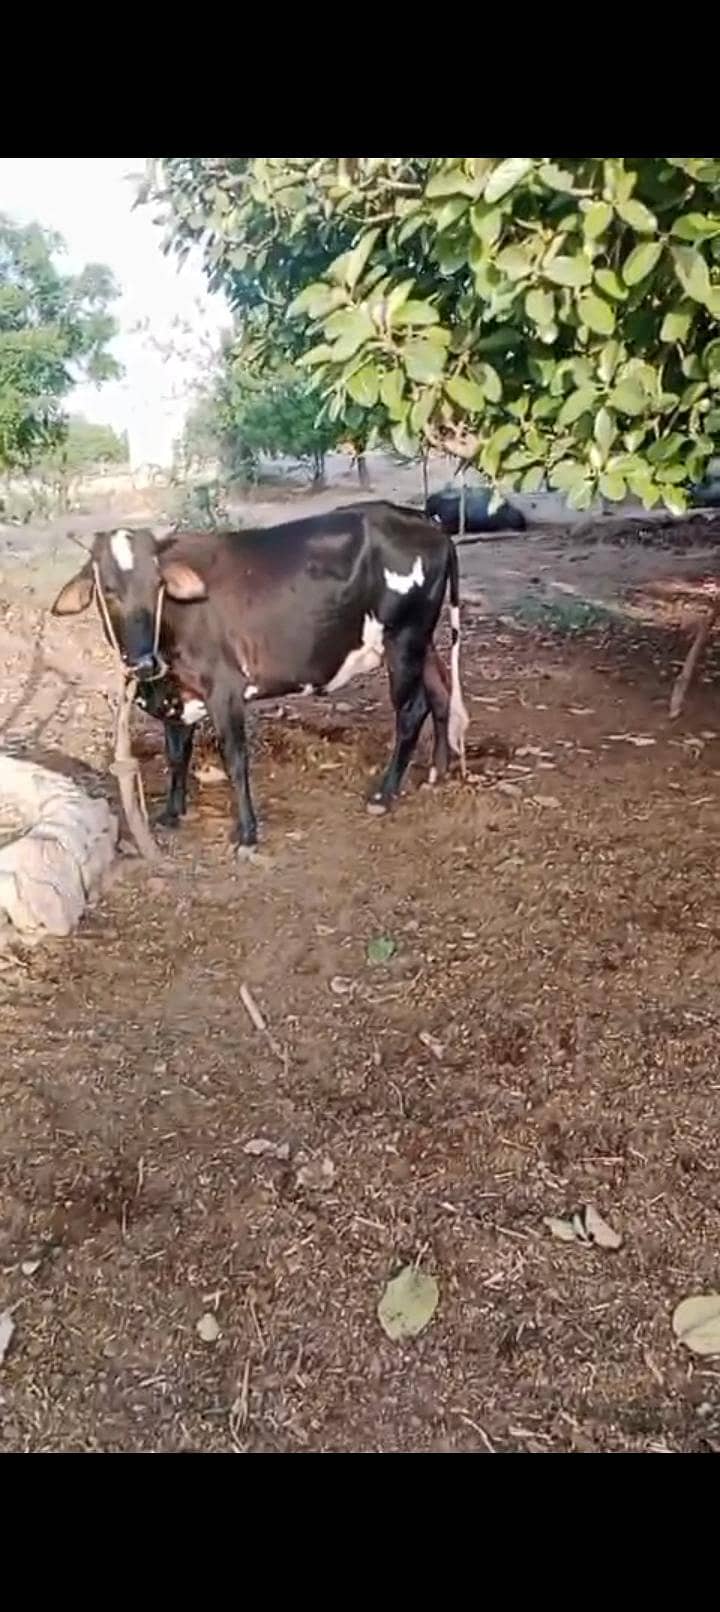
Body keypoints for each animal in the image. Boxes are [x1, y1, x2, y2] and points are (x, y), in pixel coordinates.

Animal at [51, 503, 469, 851]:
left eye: (157, 586)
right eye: (108, 590)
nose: (142, 663)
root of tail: (424, 520)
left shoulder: (224, 688)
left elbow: (235, 759)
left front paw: (248, 832)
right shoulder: (177, 693)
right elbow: (176, 754)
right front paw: (172, 813)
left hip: (404, 638)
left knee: (411, 711)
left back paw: (384, 795)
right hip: (421, 642)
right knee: (439, 693)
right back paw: (437, 771)